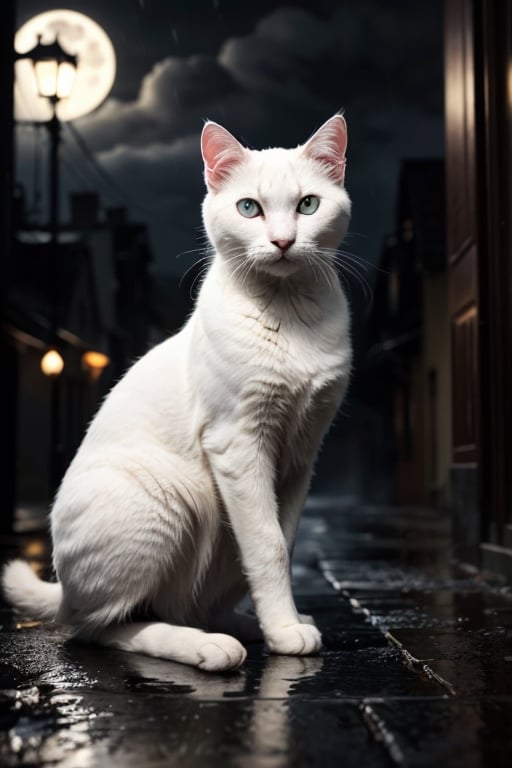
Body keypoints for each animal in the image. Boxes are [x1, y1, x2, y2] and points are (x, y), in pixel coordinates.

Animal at [2, 114, 352, 672]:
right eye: (249, 208)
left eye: (308, 205)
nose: (282, 241)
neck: (290, 313)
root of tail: (63, 590)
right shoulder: (239, 442)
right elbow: (268, 545)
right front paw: (283, 632)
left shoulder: (303, 452)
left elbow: (286, 540)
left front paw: (285, 621)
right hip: (170, 499)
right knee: (99, 628)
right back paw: (204, 646)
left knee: (180, 606)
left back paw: (232, 624)